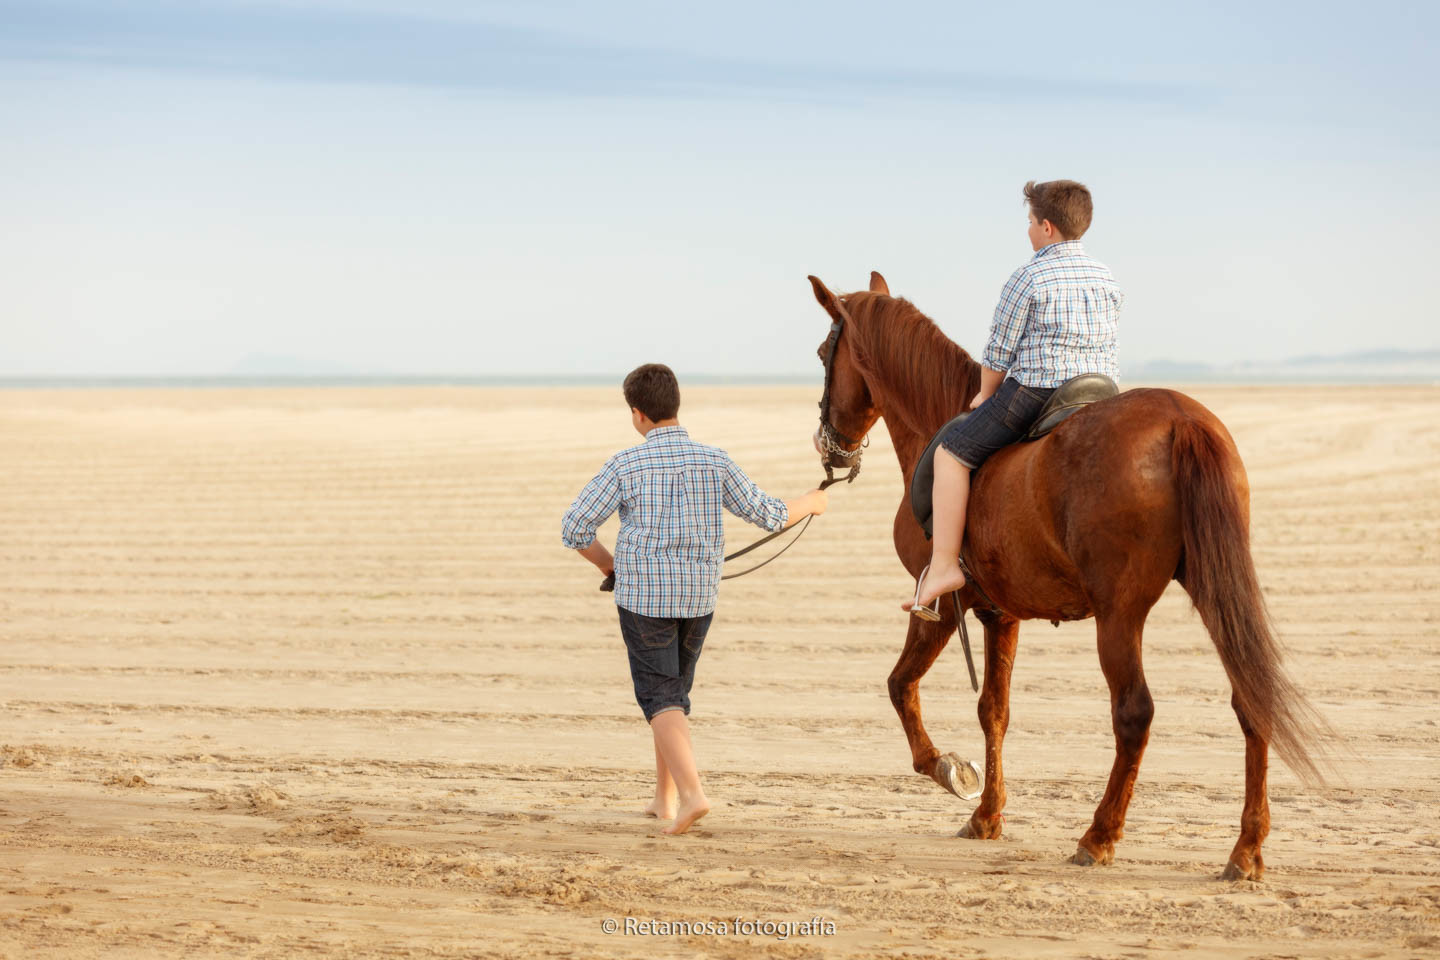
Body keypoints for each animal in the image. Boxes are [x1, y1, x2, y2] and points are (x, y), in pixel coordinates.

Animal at [812, 272, 1324, 886]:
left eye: (823, 355)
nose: (829, 445)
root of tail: (1180, 419)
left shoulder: (943, 607)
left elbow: (900, 686)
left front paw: (947, 769)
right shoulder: (999, 613)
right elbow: (993, 710)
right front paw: (987, 815)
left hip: (1120, 615)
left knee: (1133, 714)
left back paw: (1098, 836)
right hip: (1212, 591)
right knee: (1250, 699)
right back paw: (1246, 849)